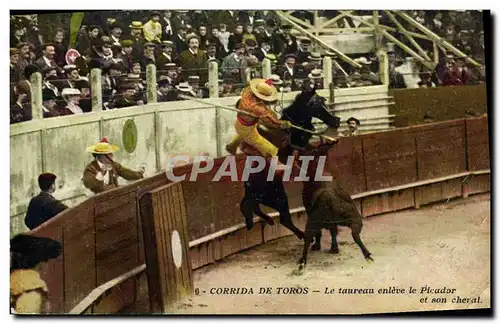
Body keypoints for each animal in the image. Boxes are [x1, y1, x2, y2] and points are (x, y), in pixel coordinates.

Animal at [237, 87, 340, 239]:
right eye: (315, 104)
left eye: (323, 100)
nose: (336, 120)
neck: (292, 130)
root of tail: (250, 187)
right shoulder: (302, 151)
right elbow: (315, 149)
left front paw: (331, 141)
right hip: (279, 197)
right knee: (284, 219)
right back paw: (303, 235)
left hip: (264, 199)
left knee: (249, 207)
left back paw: (267, 220)